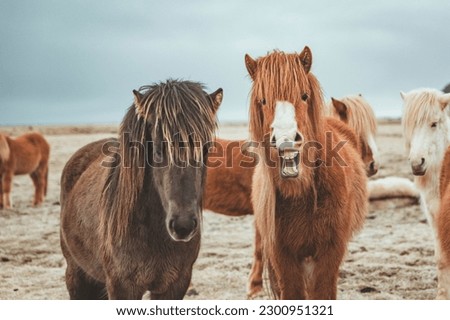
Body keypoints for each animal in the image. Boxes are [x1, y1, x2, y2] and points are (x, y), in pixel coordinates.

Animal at [59, 80, 221, 300]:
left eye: (205, 149)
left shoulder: (175, 285)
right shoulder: (122, 286)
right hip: (76, 275)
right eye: (157, 149)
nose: (183, 225)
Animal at [244, 48, 368, 300]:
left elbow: (322, 292)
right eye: (262, 100)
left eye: (304, 96)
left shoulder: (330, 251)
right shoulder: (283, 255)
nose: (286, 140)